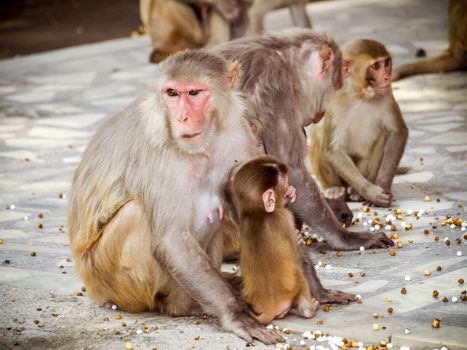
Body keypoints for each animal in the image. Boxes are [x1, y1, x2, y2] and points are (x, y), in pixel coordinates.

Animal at [232, 156, 320, 326]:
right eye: (284, 184)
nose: (288, 190)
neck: (258, 212)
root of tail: (269, 307)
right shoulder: (285, 218)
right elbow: (295, 254)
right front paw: (298, 237)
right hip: (291, 291)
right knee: (298, 273)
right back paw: (307, 310)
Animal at [310, 39, 410, 208]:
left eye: (386, 63)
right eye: (375, 66)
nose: (387, 77)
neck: (358, 94)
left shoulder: (386, 94)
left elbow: (397, 132)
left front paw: (382, 185)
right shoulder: (331, 100)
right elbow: (332, 150)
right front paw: (371, 192)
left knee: (381, 138)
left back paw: (356, 192)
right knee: (319, 142)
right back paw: (334, 188)